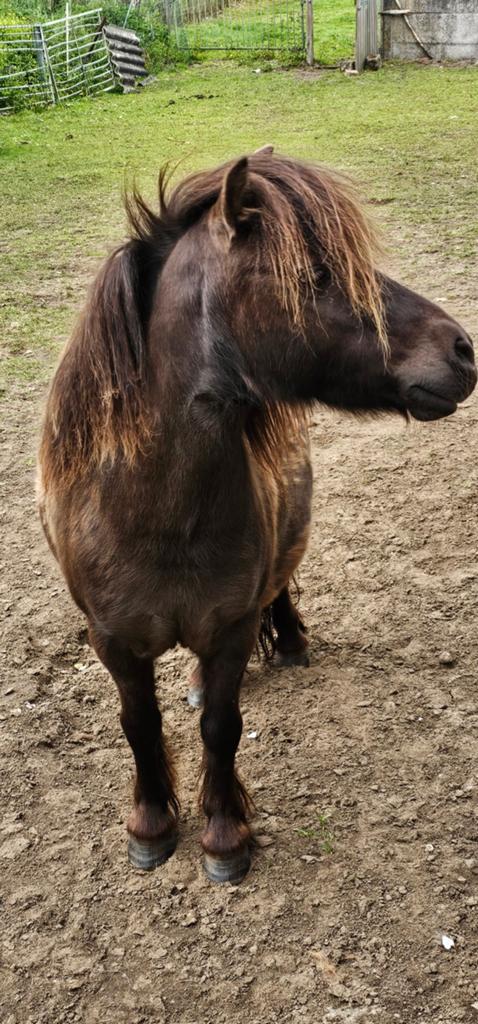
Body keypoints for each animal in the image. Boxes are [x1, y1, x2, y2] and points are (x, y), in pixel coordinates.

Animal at [37, 147, 476, 885]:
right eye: (312, 274)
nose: (462, 350)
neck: (153, 517)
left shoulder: (232, 628)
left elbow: (222, 726)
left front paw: (222, 837)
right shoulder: (112, 640)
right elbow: (139, 725)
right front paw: (151, 827)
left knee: (283, 587)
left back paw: (292, 641)